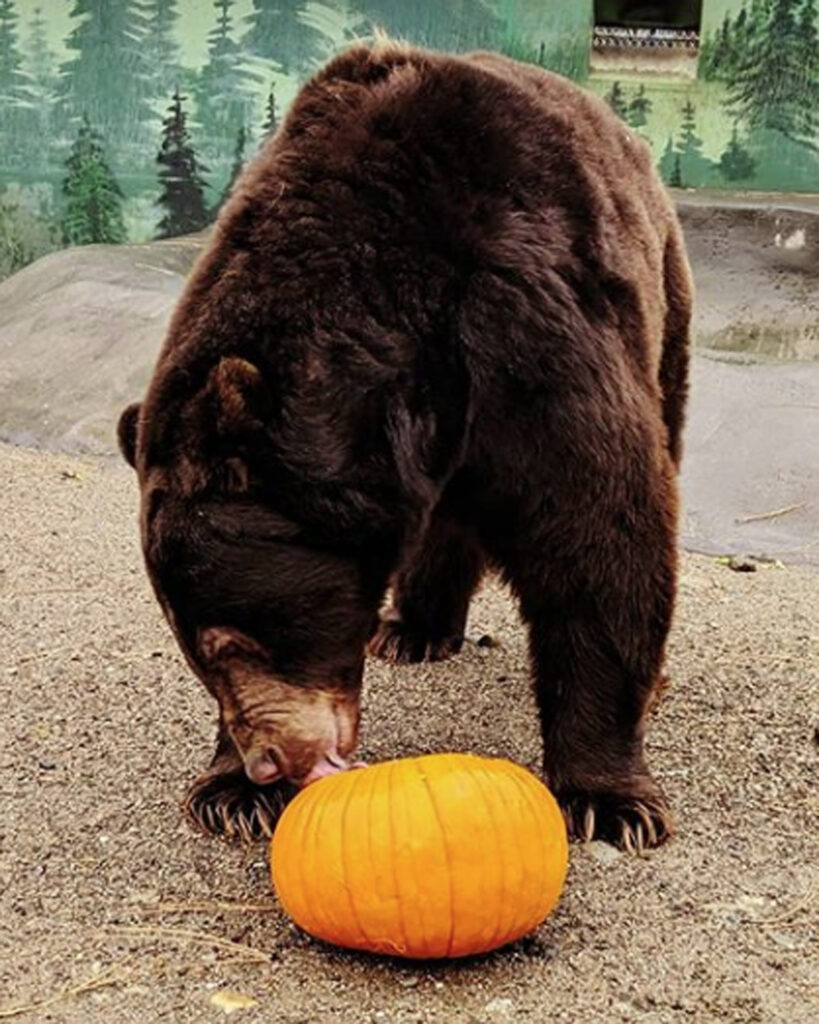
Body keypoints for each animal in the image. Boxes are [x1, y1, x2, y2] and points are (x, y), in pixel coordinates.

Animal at [118, 39, 692, 852]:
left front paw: (607, 800)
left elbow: (597, 532)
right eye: (193, 649)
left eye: (233, 639)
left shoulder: (528, 325)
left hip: (660, 300)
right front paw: (229, 792)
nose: (269, 760)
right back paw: (411, 627)